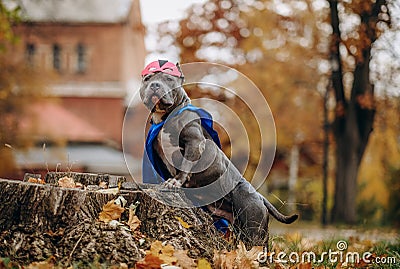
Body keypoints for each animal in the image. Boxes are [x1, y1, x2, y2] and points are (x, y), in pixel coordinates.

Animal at [138, 59, 296, 246]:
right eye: (148, 79)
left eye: (169, 79)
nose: (155, 85)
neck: (165, 117)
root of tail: (260, 197)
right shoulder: (158, 152)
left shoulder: (194, 142)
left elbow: (185, 166)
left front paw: (175, 182)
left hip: (254, 226)